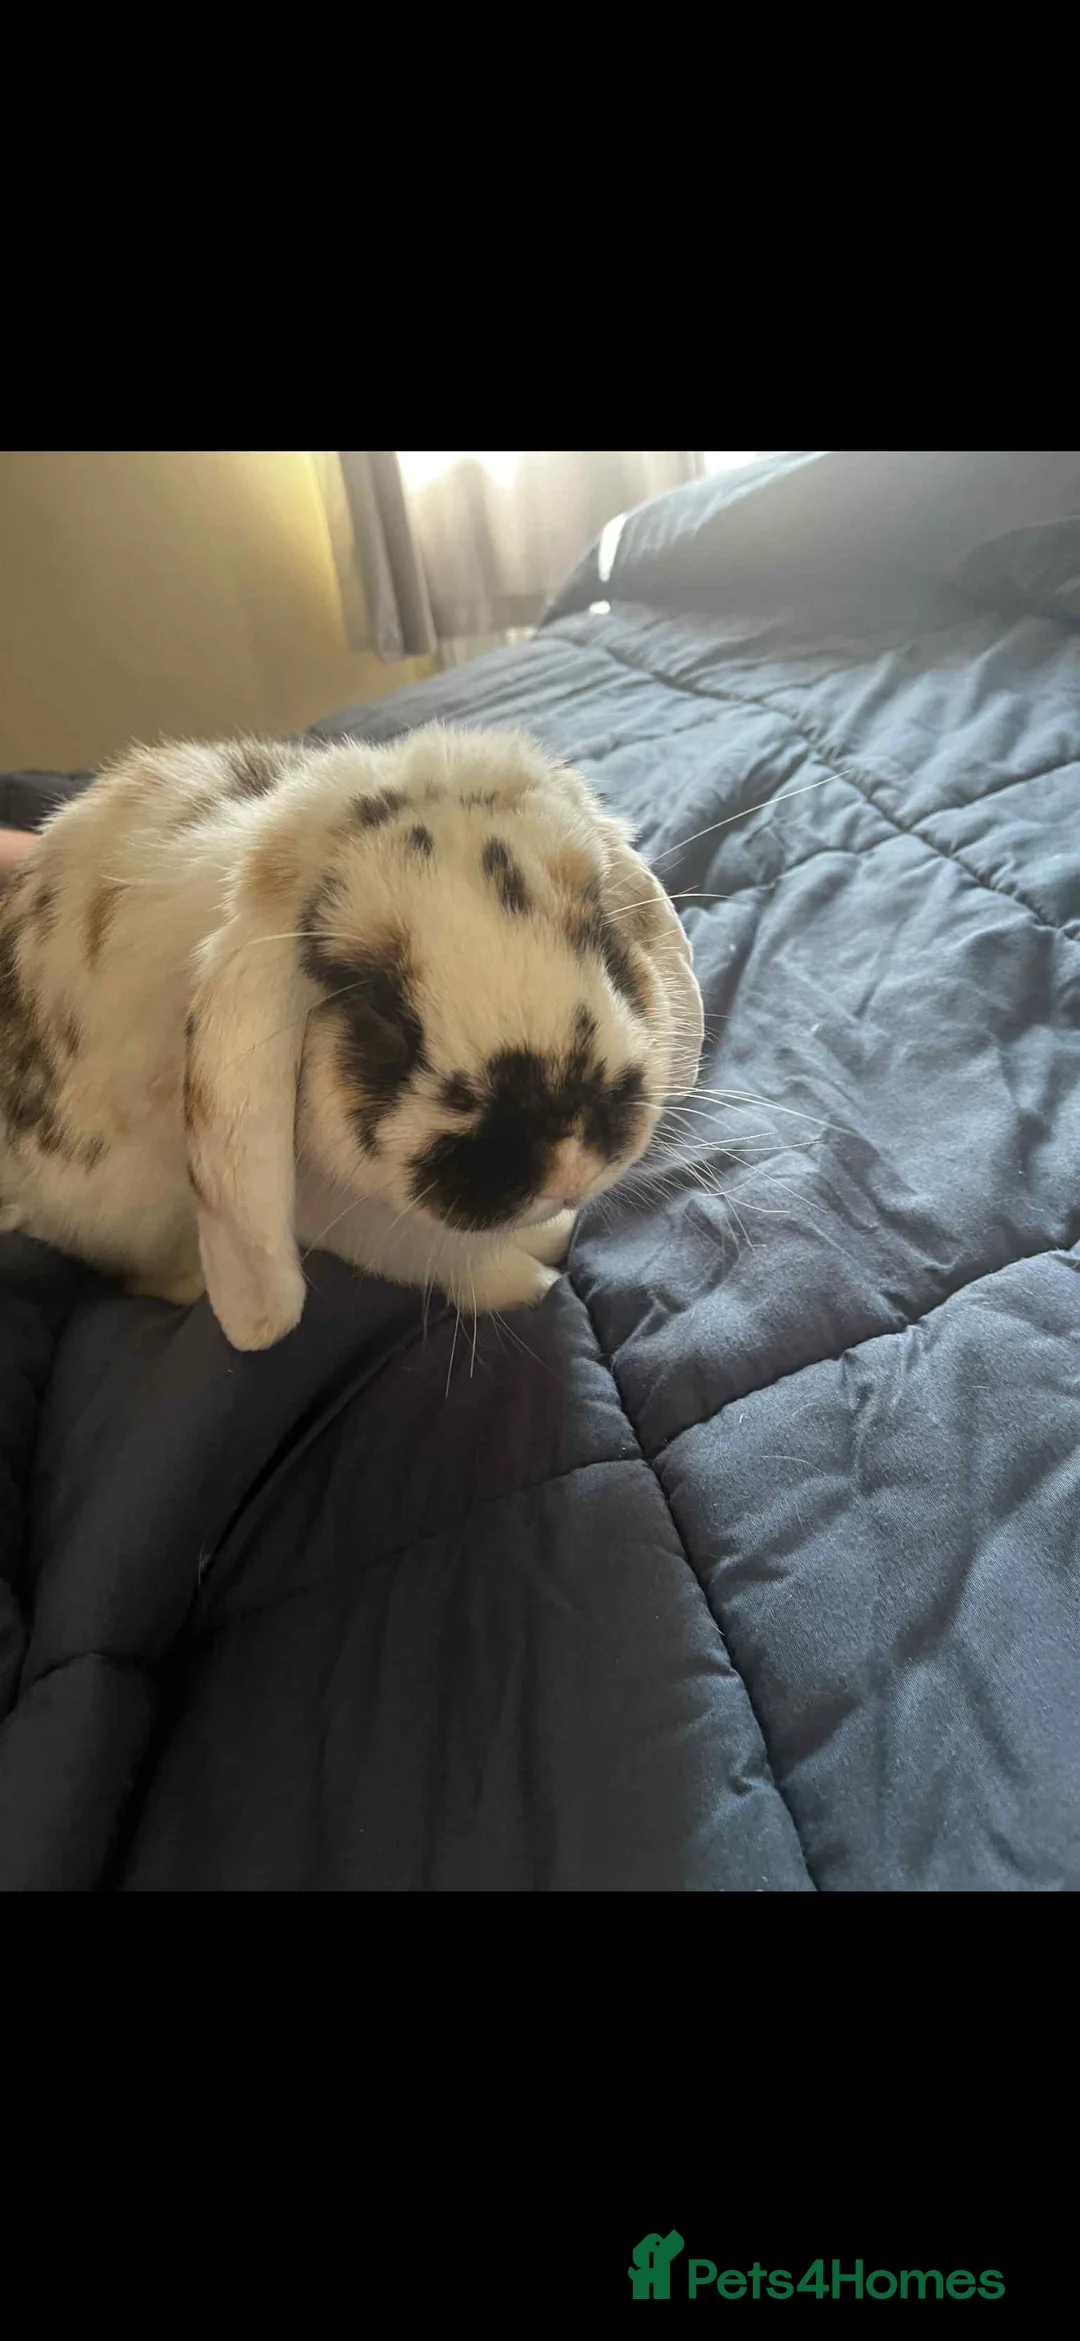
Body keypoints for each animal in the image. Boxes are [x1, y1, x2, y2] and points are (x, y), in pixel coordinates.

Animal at [0, 723, 703, 1350]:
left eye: (600, 933)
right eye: (382, 1010)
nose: (569, 1165)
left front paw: (549, 1233)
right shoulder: (339, 1216)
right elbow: (433, 1253)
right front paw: (527, 1277)